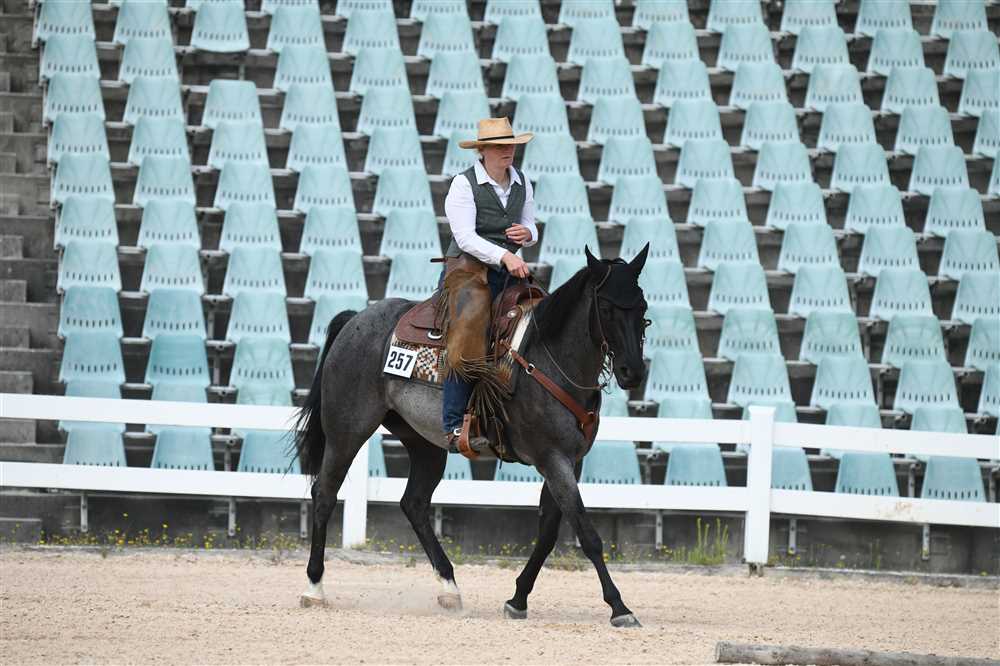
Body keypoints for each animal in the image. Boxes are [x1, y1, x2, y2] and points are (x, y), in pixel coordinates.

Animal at [291, 245, 650, 627]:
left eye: (642, 308)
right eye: (607, 308)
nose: (633, 371)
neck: (549, 359)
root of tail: (354, 320)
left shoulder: (570, 461)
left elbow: (549, 533)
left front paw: (518, 599)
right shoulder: (552, 460)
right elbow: (586, 533)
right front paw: (620, 607)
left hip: (425, 443)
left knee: (414, 503)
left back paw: (450, 588)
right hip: (347, 431)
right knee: (325, 493)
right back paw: (314, 588)